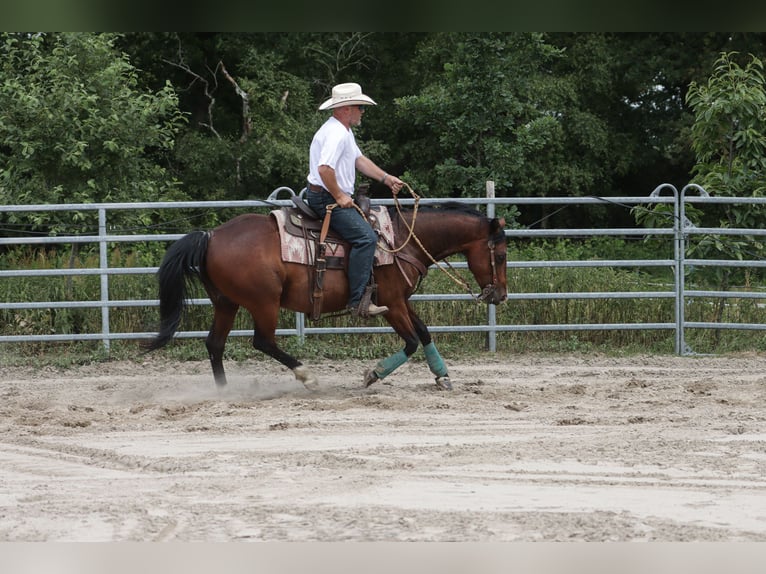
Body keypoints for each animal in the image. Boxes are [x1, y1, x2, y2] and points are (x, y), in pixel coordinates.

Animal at [143, 200, 508, 394]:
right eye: (502, 255)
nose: (501, 295)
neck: (401, 239)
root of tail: (211, 235)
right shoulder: (391, 303)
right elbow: (410, 341)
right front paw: (372, 375)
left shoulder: (401, 300)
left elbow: (424, 333)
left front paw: (442, 376)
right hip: (264, 302)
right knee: (263, 341)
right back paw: (309, 377)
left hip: (226, 302)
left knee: (215, 343)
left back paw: (224, 391)